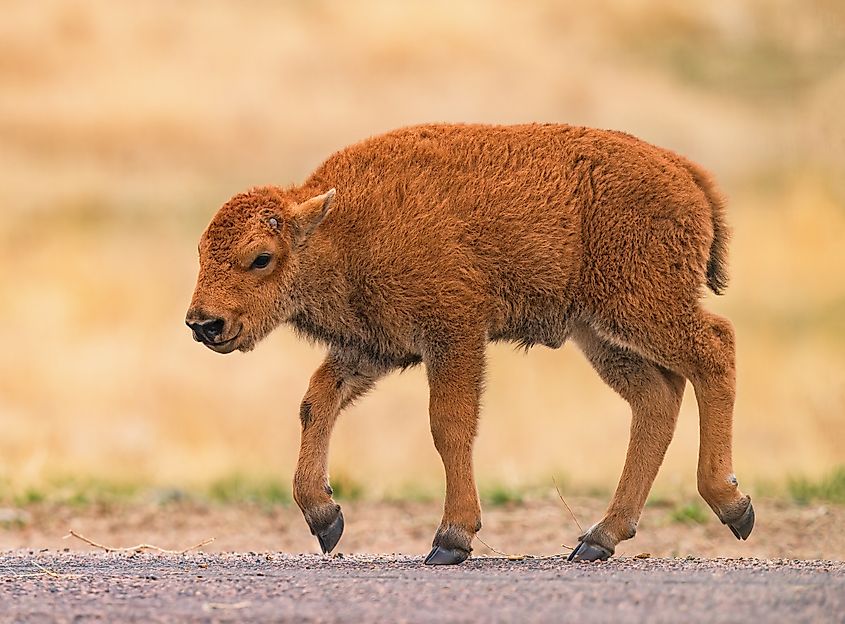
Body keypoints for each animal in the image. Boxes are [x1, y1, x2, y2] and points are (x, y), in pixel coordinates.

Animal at [186, 123, 754, 565]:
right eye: (201, 251)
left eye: (261, 257)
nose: (203, 323)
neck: (341, 226)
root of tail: (685, 172)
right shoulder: (373, 347)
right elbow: (315, 403)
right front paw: (325, 518)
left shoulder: (453, 333)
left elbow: (448, 425)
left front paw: (451, 539)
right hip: (599, 332)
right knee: (656, 399)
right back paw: (599, 539)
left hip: (641, 309)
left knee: (715, 351)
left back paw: (732, 505)